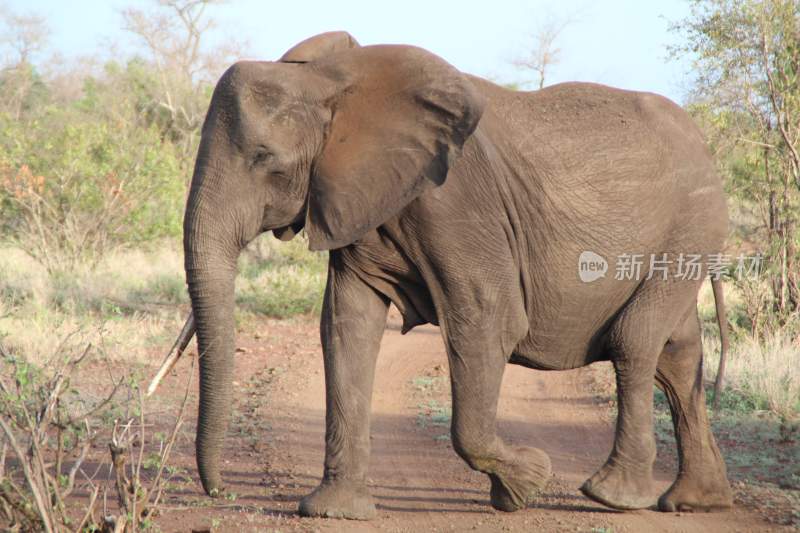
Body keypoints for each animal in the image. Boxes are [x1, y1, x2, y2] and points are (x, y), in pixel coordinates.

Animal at [172, 30, 736, 520]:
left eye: (265, 159)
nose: (218, 491)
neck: (335, 83)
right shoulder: (357, 199)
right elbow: (346, 325)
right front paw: (335, 512)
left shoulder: (456, 205)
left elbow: (488, 320)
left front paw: (527, 484)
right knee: (677, 353)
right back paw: (696, 502)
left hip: (692, 226)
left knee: (635, 340)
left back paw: (613, 497)